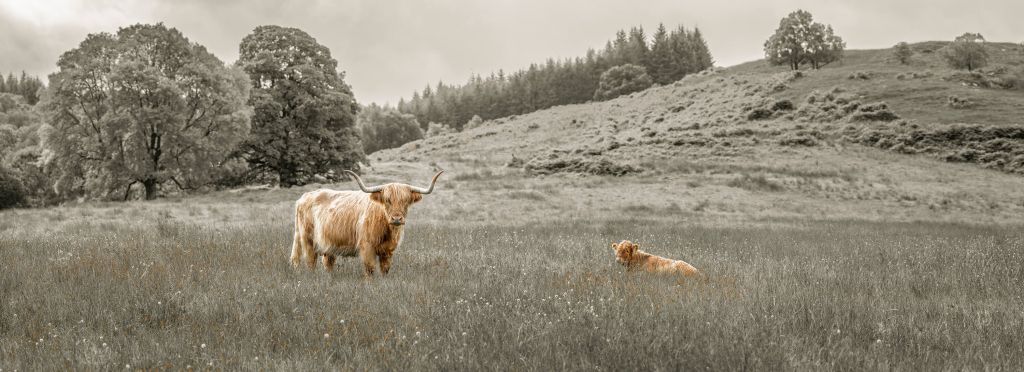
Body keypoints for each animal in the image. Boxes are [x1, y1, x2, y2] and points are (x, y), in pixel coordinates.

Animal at [292, 170, 444, 278]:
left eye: (405, 201)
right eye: (387, 200)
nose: (396, 219)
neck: (387, 231)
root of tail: (304, 197)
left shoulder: (388, 250)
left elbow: (385, 269)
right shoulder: (367, 246)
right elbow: (370, 268)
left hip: (329, 244)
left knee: (328, 262)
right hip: (307, 239)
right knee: (310, 261)